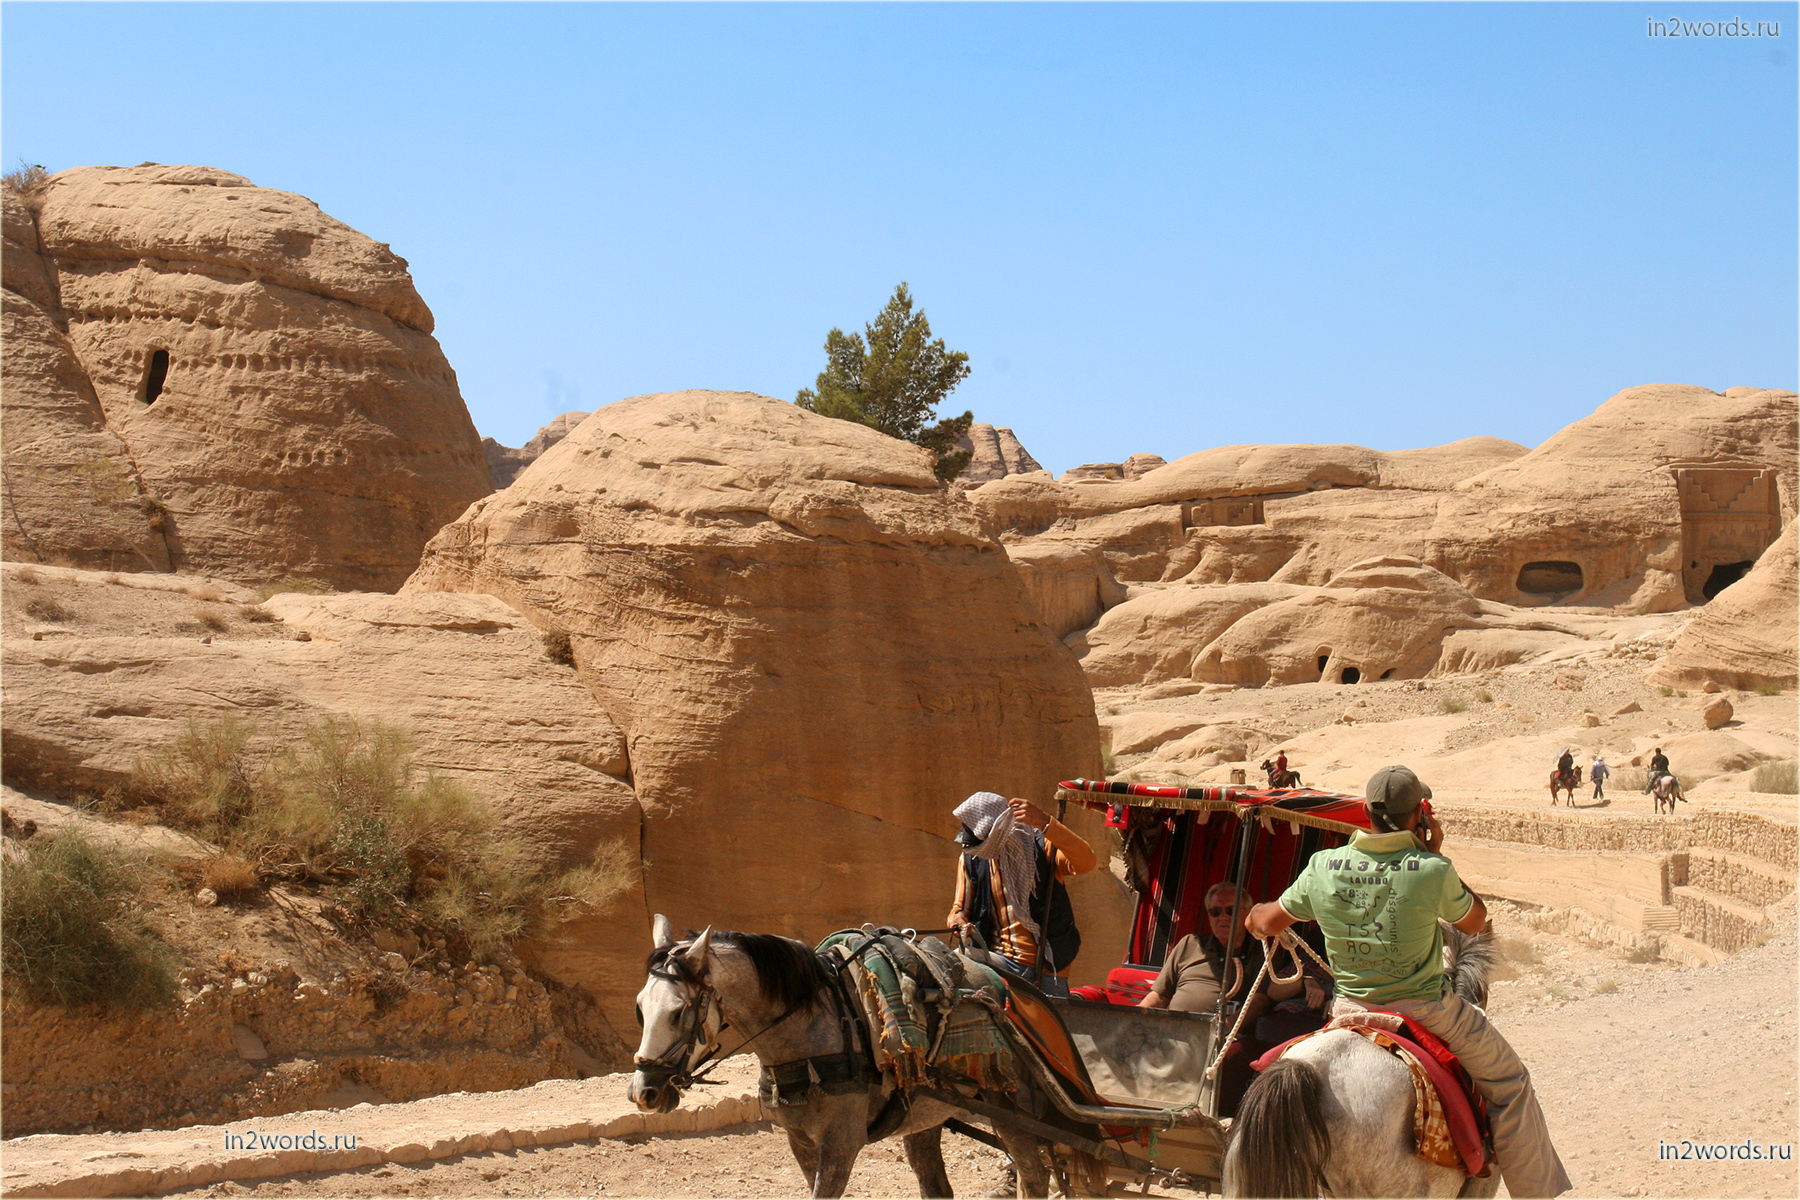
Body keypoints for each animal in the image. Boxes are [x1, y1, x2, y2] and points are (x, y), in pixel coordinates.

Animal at [633, 913, 1058, 1194]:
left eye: (678, 1011)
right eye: (639, 1008)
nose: (643, 1093)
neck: (808, 1034)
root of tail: (1010, 989)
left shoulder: (841, 1143)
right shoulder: (800, 1140)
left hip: (1012, 1110)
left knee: (1034, 1178)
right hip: (926, 1115)